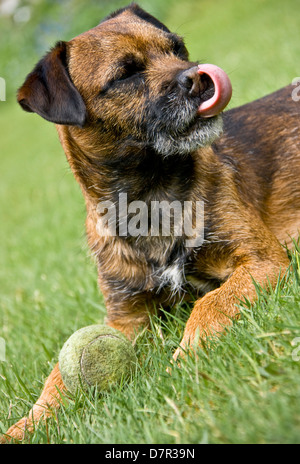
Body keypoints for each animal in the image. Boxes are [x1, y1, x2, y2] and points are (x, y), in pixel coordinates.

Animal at [2, 0, 300, 442]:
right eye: (126, 74)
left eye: (177, 48)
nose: (198, 75)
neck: (152, 197)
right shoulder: (126, 319)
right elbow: (58, 375)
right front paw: (28, 424)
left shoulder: (262, 260)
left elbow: (211, 303)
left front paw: (187, 357)